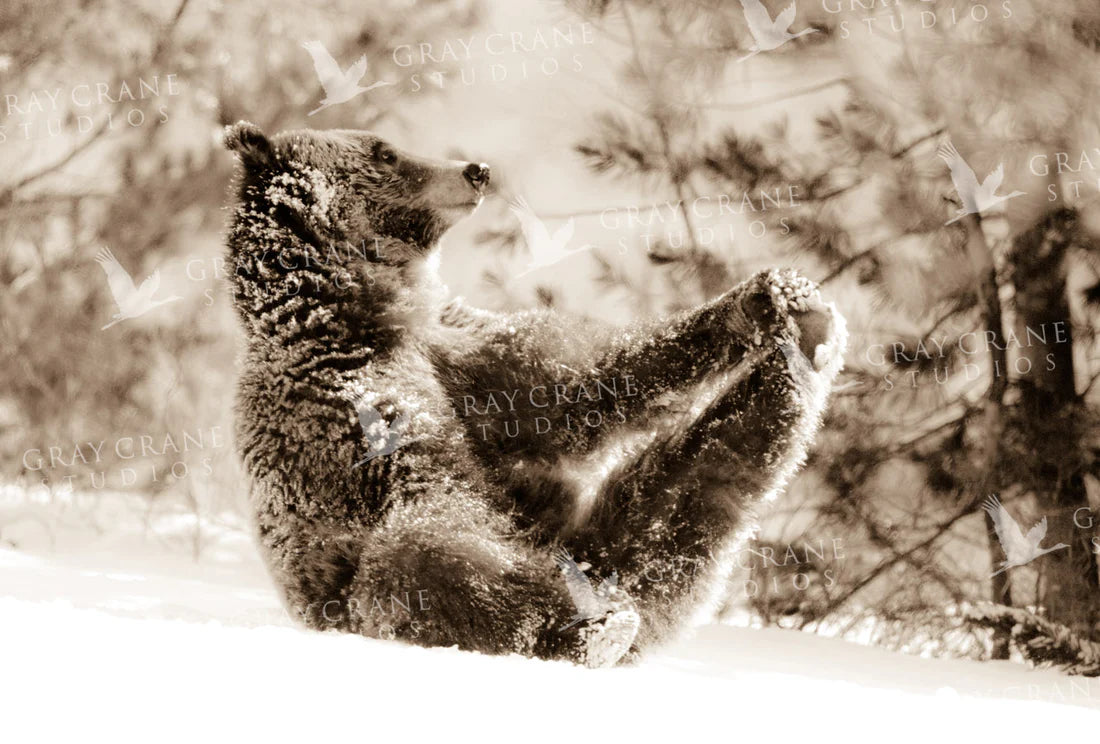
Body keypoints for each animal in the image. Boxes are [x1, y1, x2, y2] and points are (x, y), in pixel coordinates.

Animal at [223, 120, 847, 667]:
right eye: (384, 152)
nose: (475, 169)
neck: (368, 313)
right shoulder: (344, 410)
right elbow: (439, 504)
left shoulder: (460, 354)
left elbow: (580, 388)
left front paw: (764, 297)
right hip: (374, 588)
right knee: (423, 562)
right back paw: (588, 628)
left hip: (604, 539)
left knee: (696, 484)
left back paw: (805, 347)